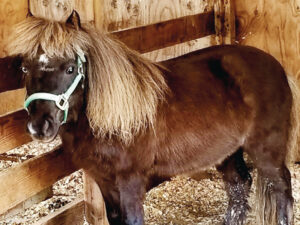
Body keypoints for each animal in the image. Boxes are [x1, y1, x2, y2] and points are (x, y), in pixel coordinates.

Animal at [2, 11, 300, 225]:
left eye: (70, 68)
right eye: (25, 69)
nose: (39, 126)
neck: (115, 119)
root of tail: (277, 68)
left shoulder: (131, 183)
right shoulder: (105, 183)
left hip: (268, 151)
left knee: (282, 191)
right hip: (227, 152)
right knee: (239, 187)